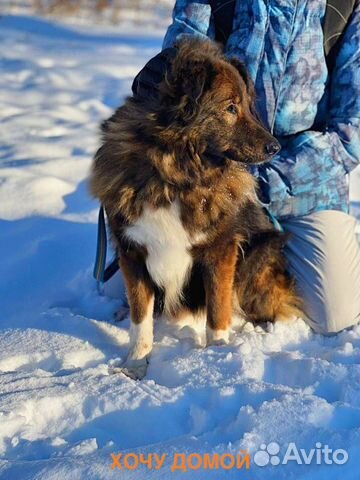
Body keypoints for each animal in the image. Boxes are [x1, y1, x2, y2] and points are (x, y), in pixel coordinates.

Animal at [90, 38, 304, 378]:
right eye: (230, 108)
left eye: (247, 104)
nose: (275, 147)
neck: (175, 176)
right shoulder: (132, 252)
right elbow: (141, 318)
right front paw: (136, 363)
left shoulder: (221, 250)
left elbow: (217, 309)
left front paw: (218, 356)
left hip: (259, 251)